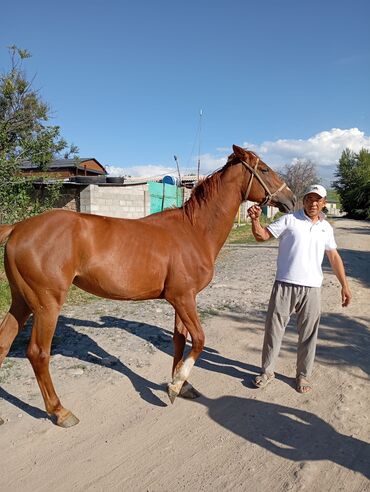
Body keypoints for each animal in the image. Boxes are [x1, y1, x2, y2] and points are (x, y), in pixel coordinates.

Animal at [0, 144, 294, 424]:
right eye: (264, 169)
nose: (291, 199)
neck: (194, 231)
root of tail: (18, 228)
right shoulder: (183, 298)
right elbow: (199, 340)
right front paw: (174, 386)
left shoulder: (182, 299)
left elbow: (180, 340)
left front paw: (182, 385)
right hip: (46, 304)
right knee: (38, 353)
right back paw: (59, 411)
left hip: (22, 301)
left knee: (4, 343)